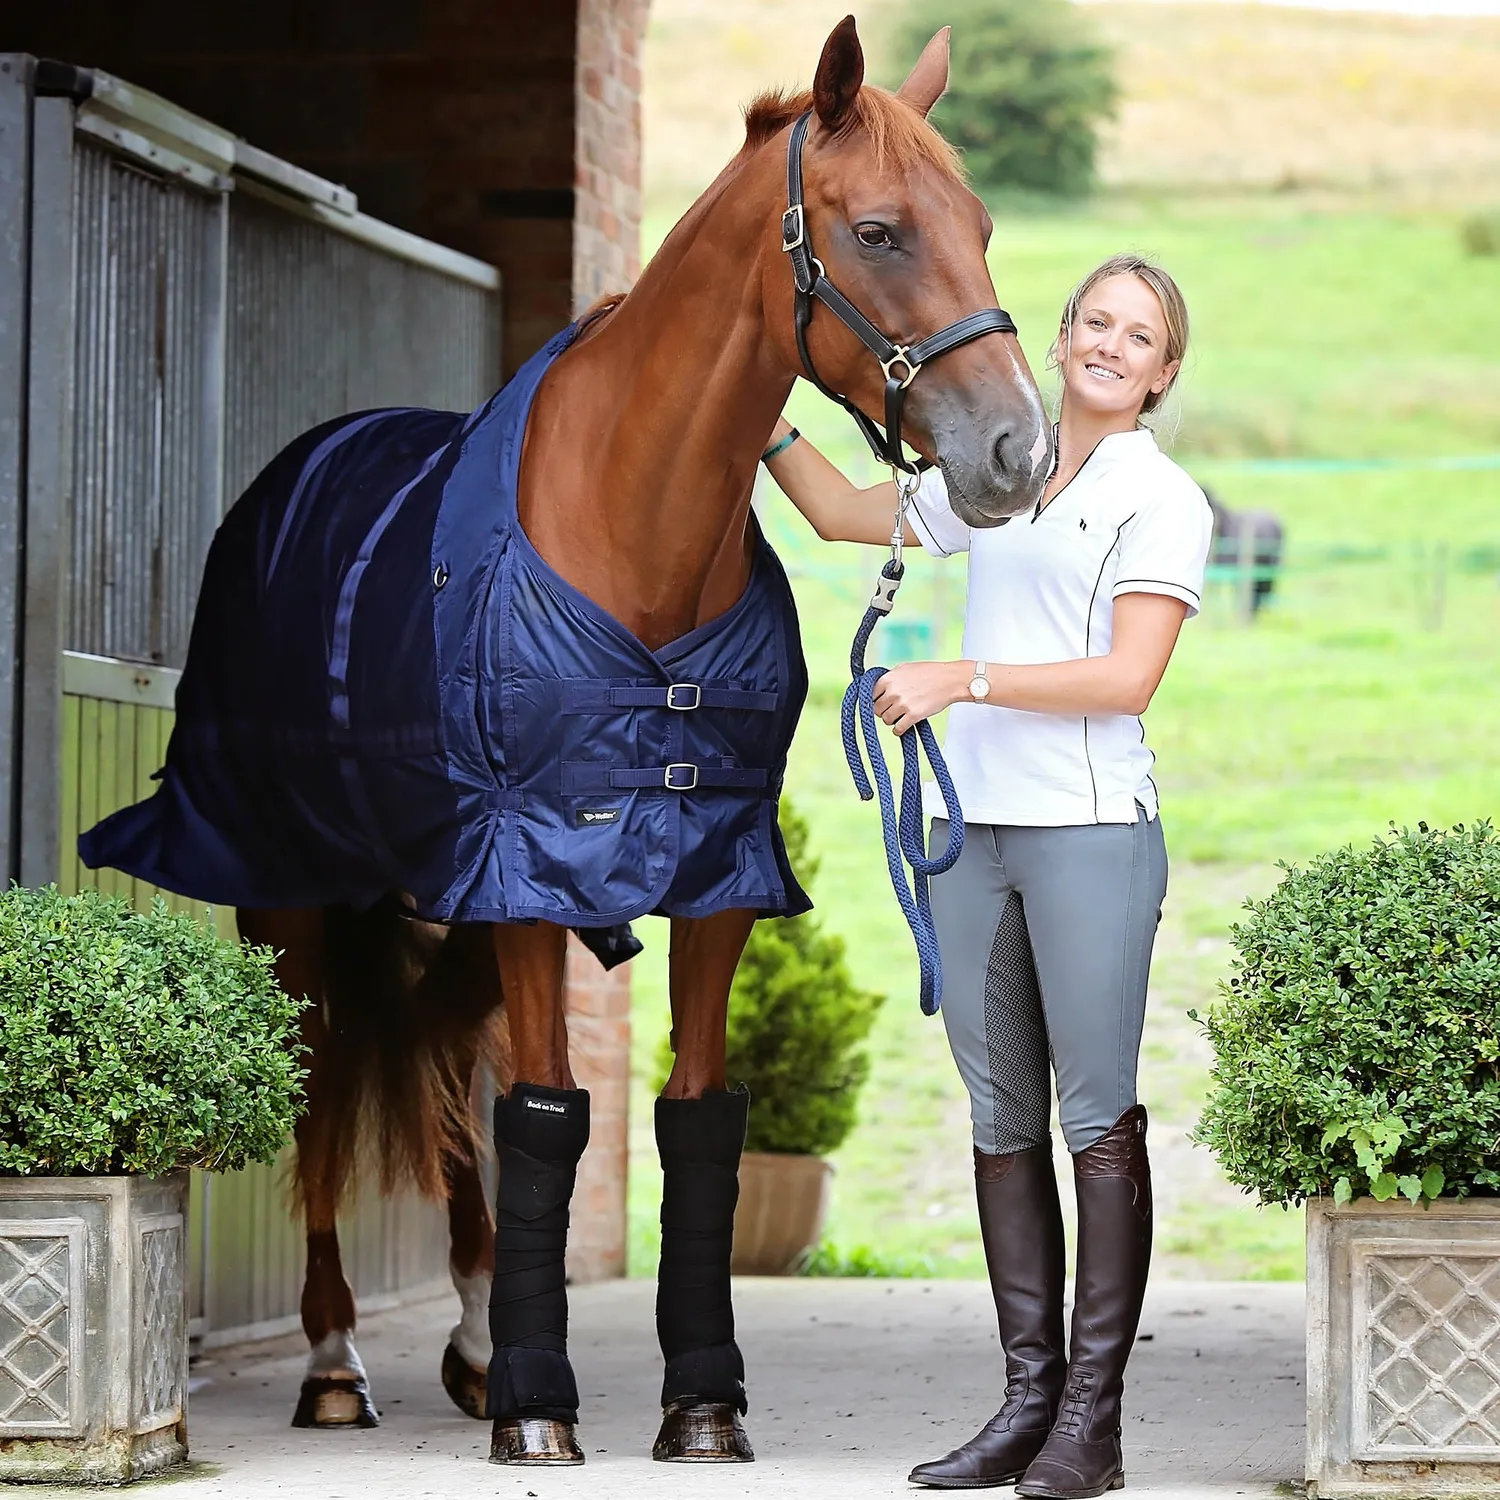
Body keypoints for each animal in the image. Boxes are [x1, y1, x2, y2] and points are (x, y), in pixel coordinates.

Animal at [80, 16, 1051, 1465]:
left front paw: (697, 1402)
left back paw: (476, 1342)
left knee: (448, 1083)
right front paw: (541, 1410)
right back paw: (335, 1361)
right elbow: (548, 1115)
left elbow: (688, 1122)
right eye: (880, 230)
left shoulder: (708, 873)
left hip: (459, 911)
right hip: (296, 897)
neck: (635, 532)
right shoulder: (530, 870)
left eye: (983, 226)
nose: (1017, 453)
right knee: (325, 1088)